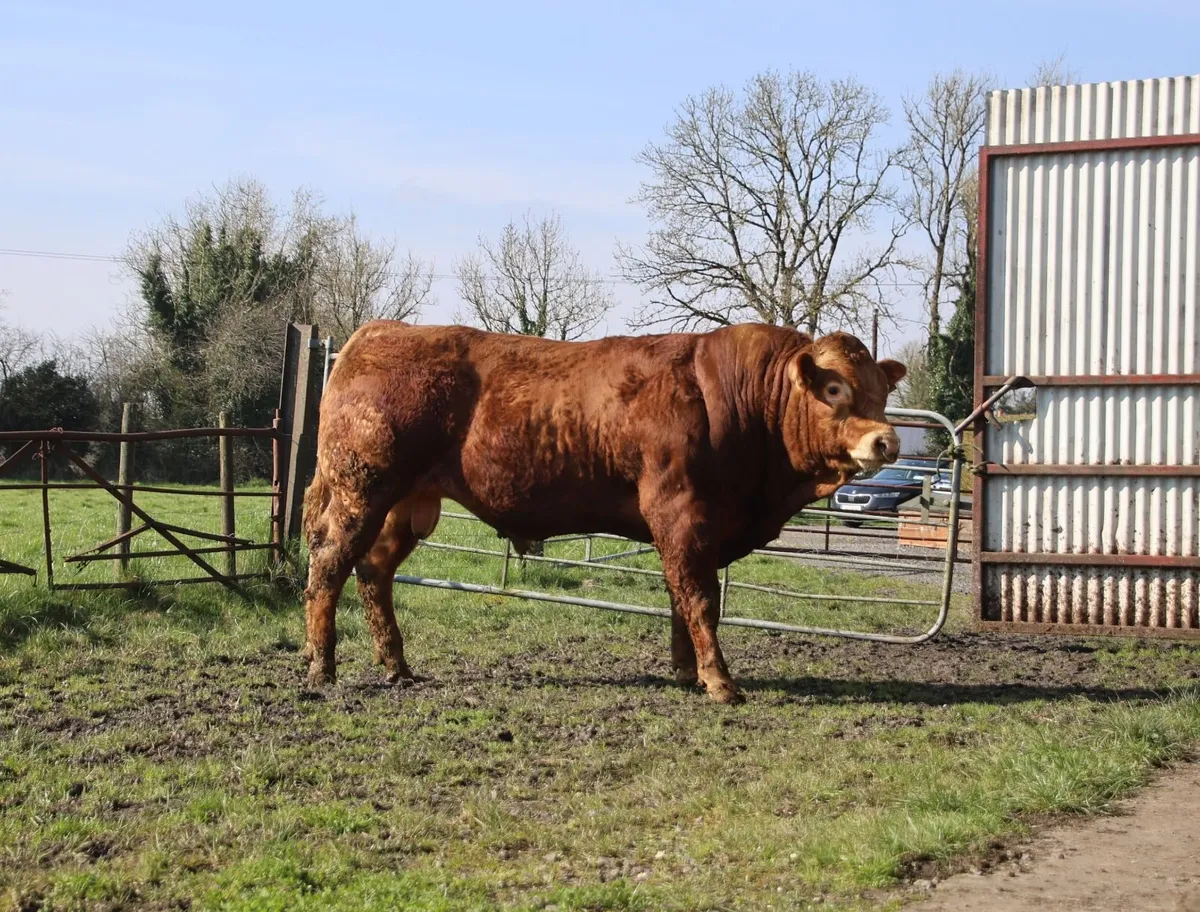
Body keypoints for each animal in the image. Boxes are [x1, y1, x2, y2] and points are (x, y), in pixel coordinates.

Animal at [301, 322, 905, 704]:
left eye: (881, 392)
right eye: (835, 388)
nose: (887, 440)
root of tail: (376, 333)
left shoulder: (689, 529)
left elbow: (679, 597)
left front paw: (686, 671)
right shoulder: (681, 512)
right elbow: (700, 599)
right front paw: (720, 682)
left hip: (405, 505)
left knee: (373, 571)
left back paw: (397, 667)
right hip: (361, 490)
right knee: (328, 565)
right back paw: (321, 666)